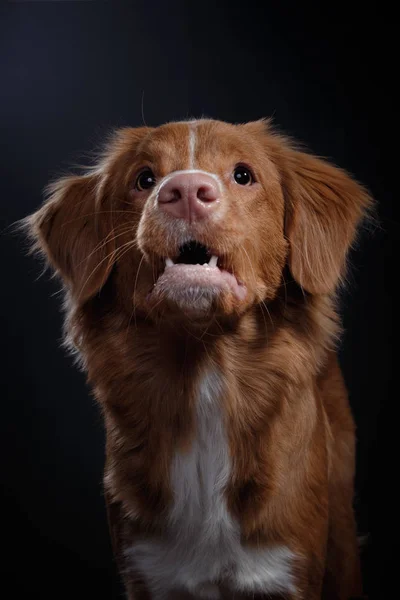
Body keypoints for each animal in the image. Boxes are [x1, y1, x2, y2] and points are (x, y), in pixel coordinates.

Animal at [26, 119, 374, 596]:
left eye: (243, 175)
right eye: (144, 179)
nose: (186, 190)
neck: (205, 368)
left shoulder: (289, 568)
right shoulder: (146, 570)